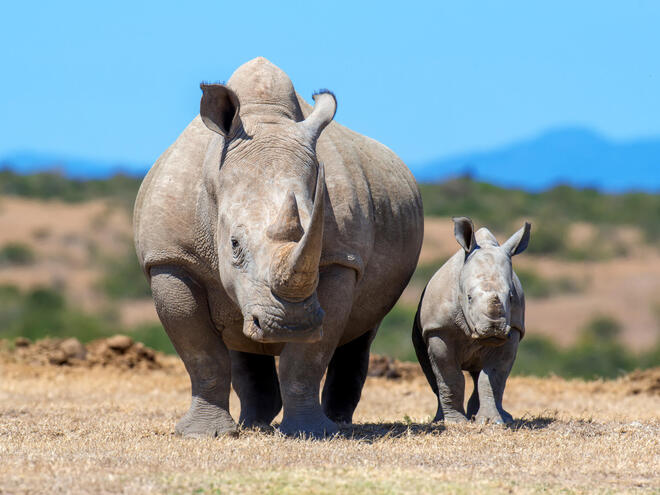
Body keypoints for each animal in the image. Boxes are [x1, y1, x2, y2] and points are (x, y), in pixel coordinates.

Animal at [133, 57, 422, 438]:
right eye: (234, 244)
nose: (289, 325)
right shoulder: (171, 259)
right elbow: (202, 354)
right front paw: (203, 434)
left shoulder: (340, 261)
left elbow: (307, 360)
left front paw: (312, 432)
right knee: (238, 336)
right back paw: (253, 423)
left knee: (362, 330)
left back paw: (337, 422)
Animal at [412, 219, 532, 424]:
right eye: (468, 297)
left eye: (510, 297)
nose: (494, 328)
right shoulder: (438, 329)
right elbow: (450, 375)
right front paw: (455, 422)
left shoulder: (515, 328)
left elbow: (493, 377)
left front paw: (492, 421)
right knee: (432, 372)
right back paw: (441, 420)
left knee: (479, 373)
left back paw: (497, 418)